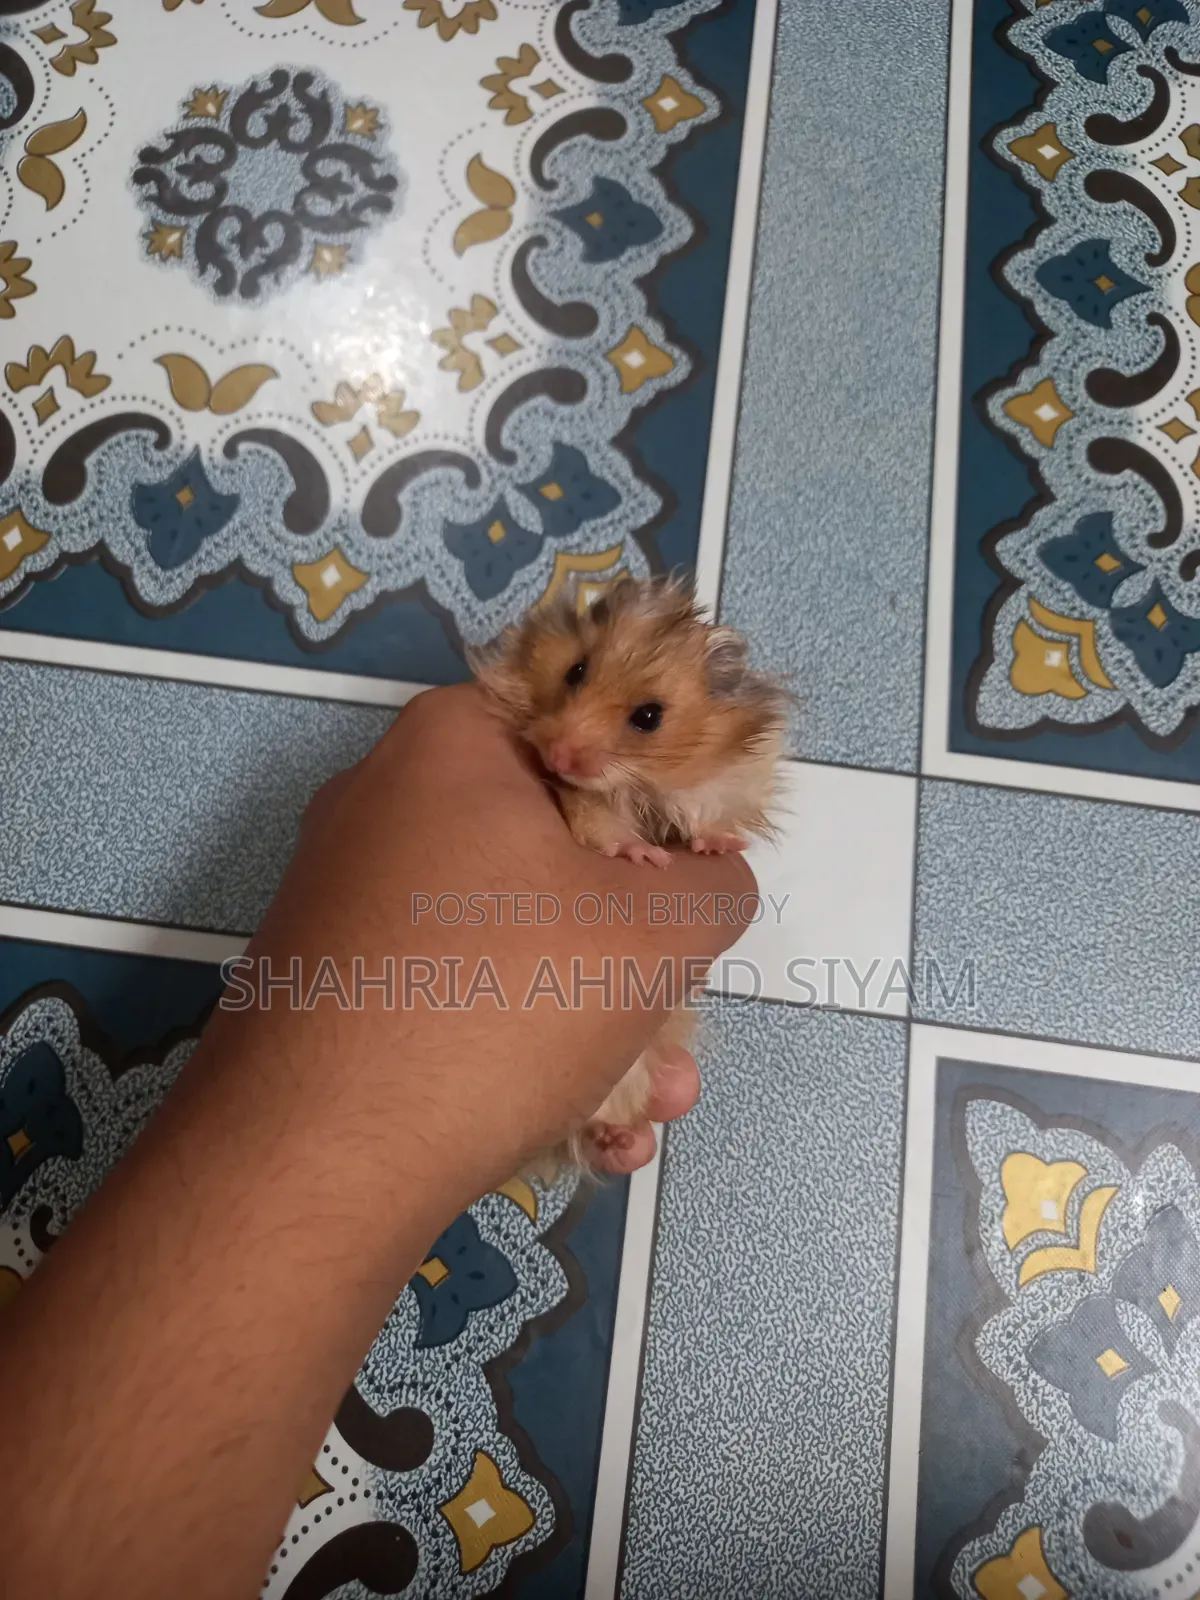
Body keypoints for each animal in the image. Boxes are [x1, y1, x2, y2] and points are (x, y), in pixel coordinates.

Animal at [469, 572, 789, 1174]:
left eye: (648, 717)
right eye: (575, 671)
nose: (556, 756)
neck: (640, 784)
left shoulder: (729, 783)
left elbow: (710, 817)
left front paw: (713, 846)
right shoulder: (587, 807)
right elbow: (604, 829)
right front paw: (647, 856)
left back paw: (618, 1141)